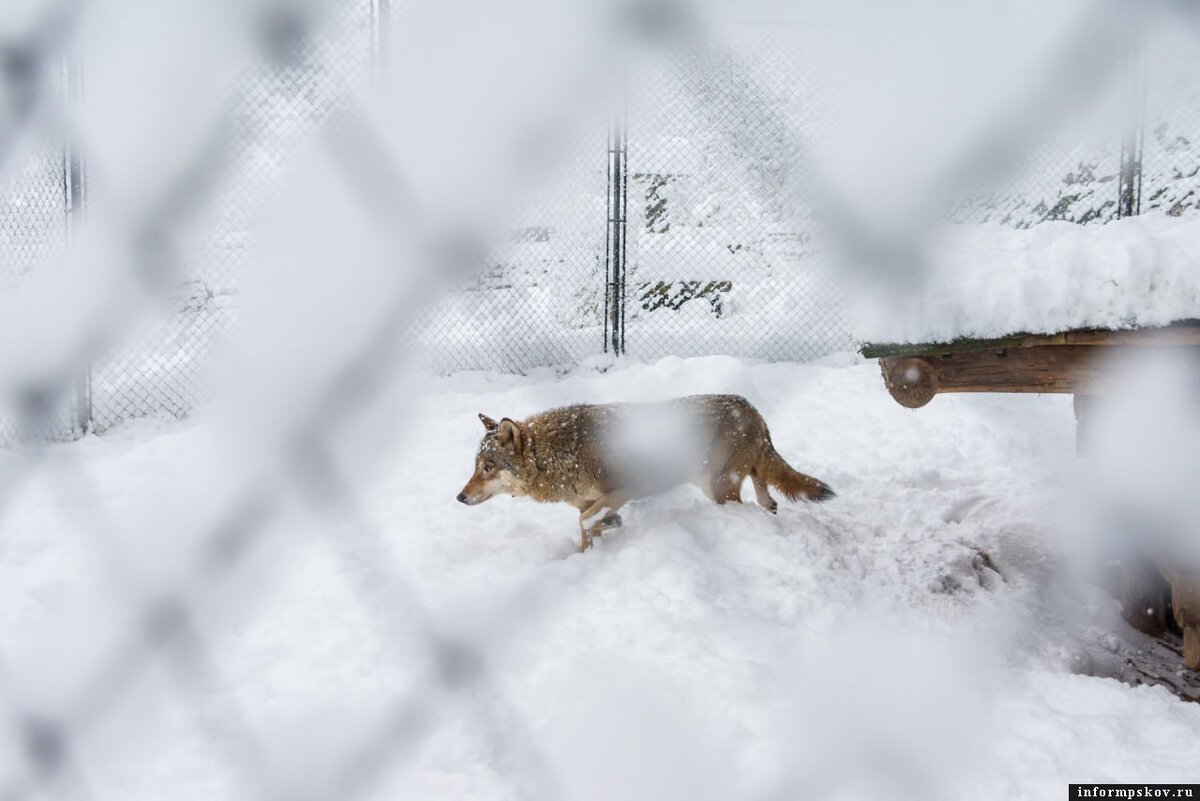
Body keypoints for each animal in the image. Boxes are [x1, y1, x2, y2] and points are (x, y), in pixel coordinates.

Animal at [453, 393, 830, 551]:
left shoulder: (624, 489)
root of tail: (752, 408)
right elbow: (588, 526)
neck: (562, 455)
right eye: (475, 467)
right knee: (769, 499)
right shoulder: (591, 501)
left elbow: (586, 521)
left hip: (717, 487)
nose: (460, 497)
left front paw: (604, 533)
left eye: (488, 468)